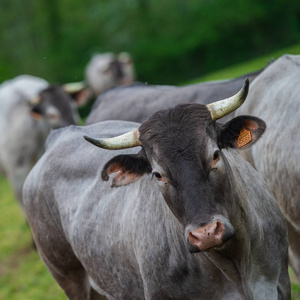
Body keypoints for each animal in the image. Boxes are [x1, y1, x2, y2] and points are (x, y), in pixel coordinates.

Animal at [22, 80, 290, 300]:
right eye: (157, 174)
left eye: (215, 154)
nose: (206, 234)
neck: (238, 265)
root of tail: (58, 136)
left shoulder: (281, 283)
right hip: (71, 279)